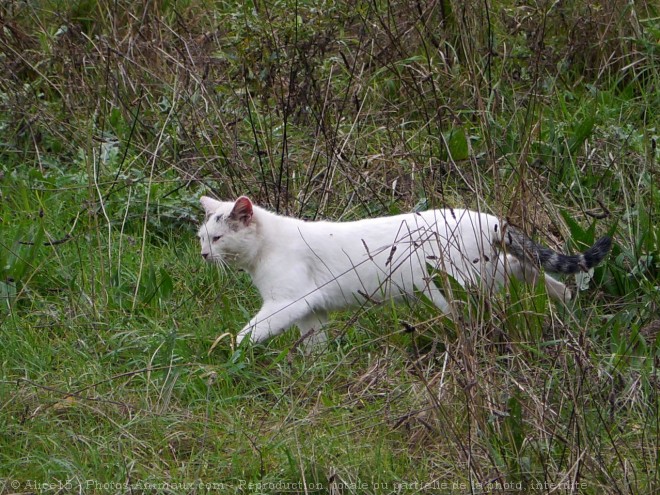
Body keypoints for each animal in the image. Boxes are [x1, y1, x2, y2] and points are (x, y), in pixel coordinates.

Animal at [199, 196, 612, 346]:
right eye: (200, 238)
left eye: (217, 238)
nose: (203, 255)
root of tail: (490, 219)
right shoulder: (310, 309)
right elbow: (314, 344)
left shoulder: (286, 302)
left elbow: (249, 333)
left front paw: (225, 352)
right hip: (485, 273)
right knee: (524, 268)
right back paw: (566, 298)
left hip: (461, 284)